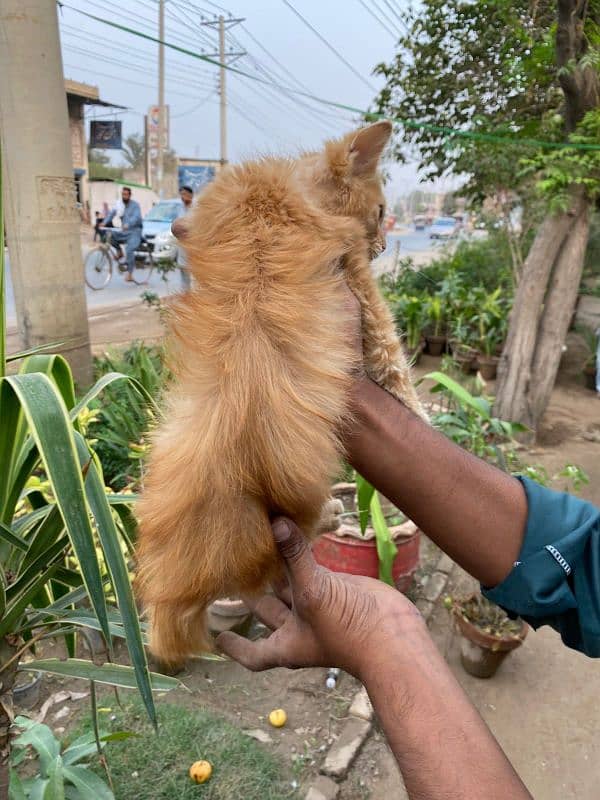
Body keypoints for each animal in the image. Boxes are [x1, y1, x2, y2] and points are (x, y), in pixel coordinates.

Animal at [136, 120, 426, 668]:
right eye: (381, 212)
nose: (383, 241)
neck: (278, 193)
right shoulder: (358, 282)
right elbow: (396, 364)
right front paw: (423, 419)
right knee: (307, 531)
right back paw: (334, 514)